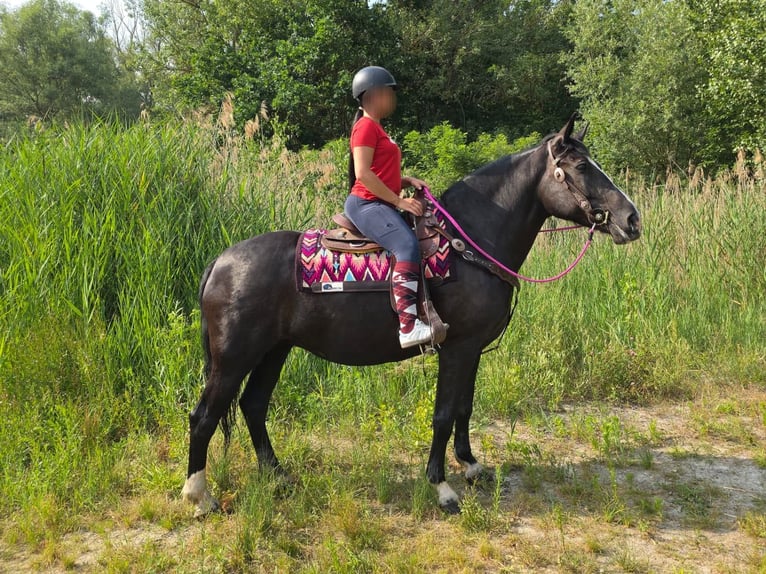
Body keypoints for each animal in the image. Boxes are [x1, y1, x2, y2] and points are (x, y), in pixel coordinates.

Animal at [181, 114, 641, 516]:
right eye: (581, 165)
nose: (632, 219)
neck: (467, 244)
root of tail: (221, 261)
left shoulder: (471, 349)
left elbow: (464, 408)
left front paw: (472, 466)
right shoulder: (457, 347)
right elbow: (443, 414)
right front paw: (442, 488)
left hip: (274, 351)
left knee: (253, 406)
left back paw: (278, 477)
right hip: (233, 358)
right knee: (203, 417)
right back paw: (200, 497)